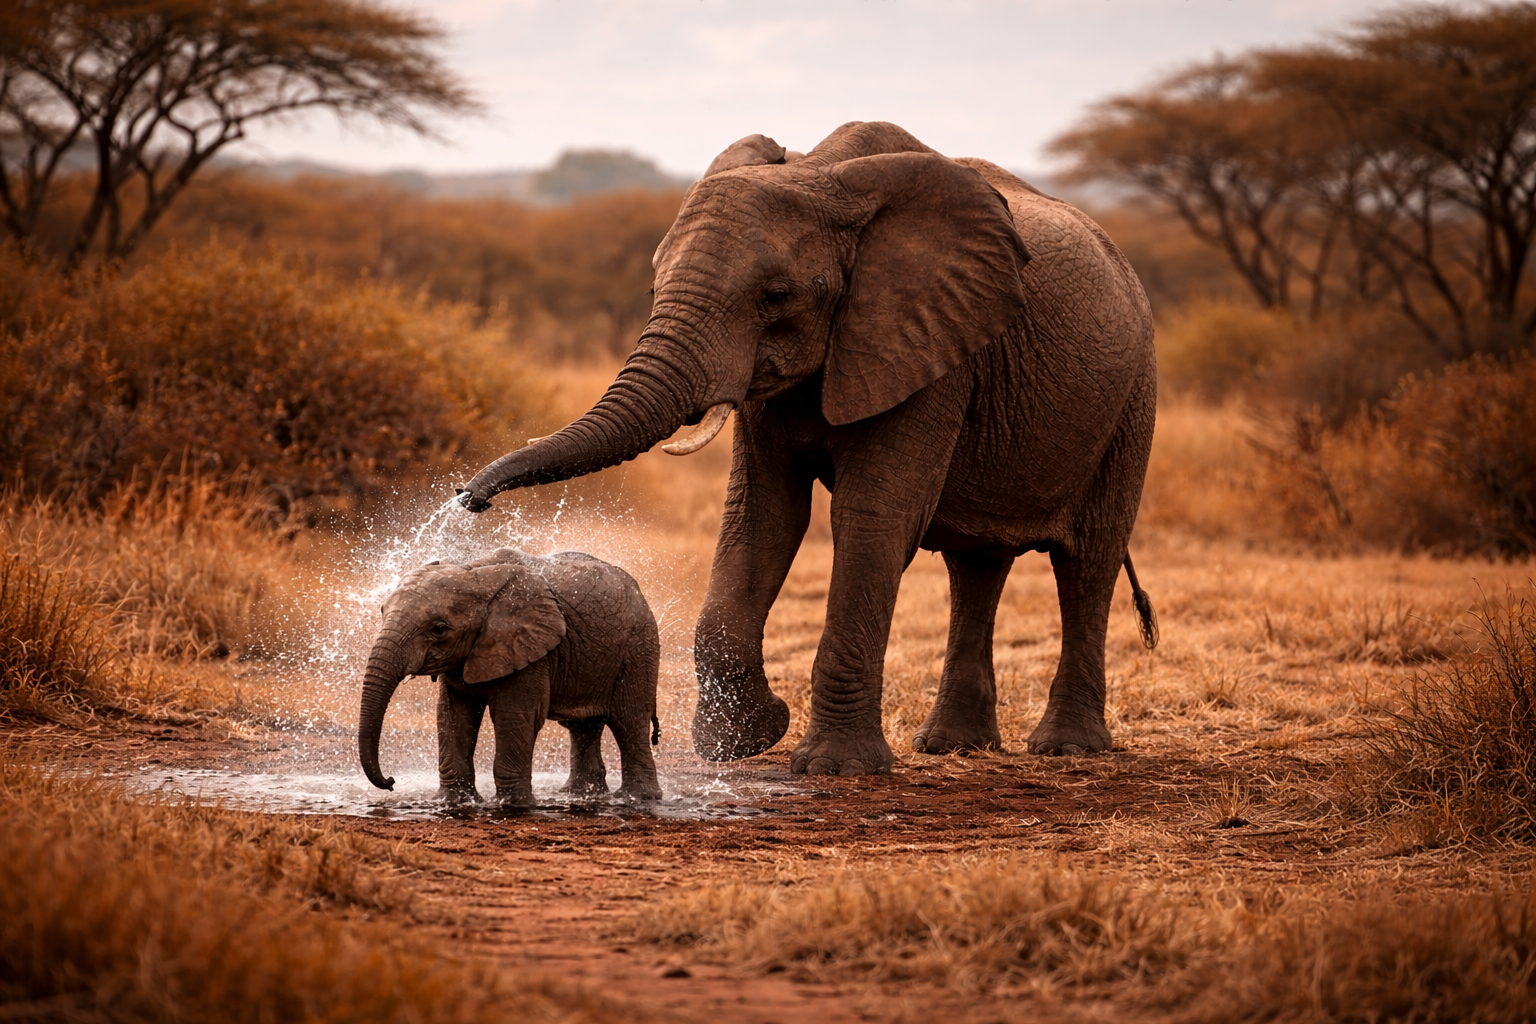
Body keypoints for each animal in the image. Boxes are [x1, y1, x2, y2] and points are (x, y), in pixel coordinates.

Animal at [357, 547, 663, 805]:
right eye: (381, 610)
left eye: (439, 629)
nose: (391, 781)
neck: (472, 573)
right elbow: (453, 716)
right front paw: (453, 803)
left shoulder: (530, 650)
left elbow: (514, 716)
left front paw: (513, 806)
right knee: (583, 726)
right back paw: (580, 795)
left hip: (638, 648)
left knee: (629, 722)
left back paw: (638, 799)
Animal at [457, 121, 1158, 777]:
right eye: (655, 289)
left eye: (777, 297)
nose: (469, 498)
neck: (825, 176)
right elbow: (762, 515)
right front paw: (744, 741)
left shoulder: (924, 349)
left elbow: (872, 518)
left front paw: (833, 766)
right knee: (976, 566)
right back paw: (950, 746)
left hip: (1133, 398)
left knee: (1087, 561)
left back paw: (1066, 749)